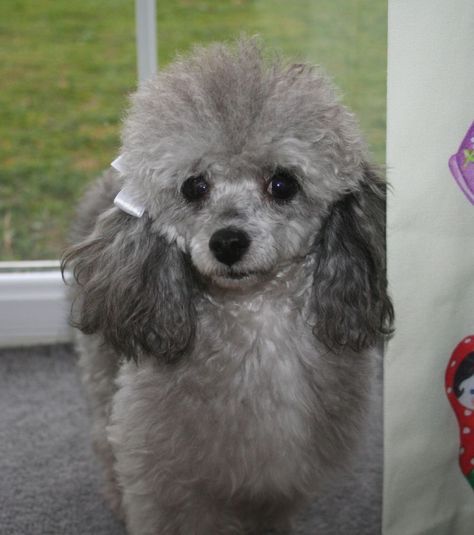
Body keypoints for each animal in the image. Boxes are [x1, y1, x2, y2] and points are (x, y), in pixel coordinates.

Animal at [62, 38, 392, 535]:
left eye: (282, 184)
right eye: (194, 186)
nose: (228, 243)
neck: (258, 328)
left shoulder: (276, 485)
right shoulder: (168, 486)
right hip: (103, 377)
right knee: (104, 438)